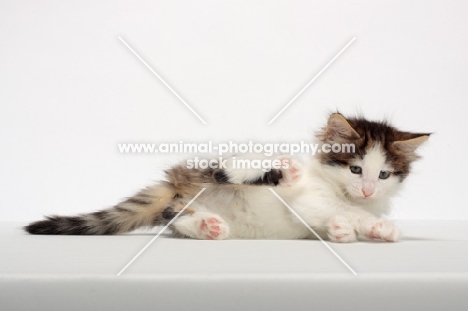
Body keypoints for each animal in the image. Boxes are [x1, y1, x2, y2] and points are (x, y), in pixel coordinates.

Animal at [23, 113, 430, 243]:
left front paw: (361, 229)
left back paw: (208, 225)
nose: (367, 190)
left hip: (183, 205)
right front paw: (363, 224)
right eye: (355, 169)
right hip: (219, 167)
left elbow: (350, 219)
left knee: (174, 216)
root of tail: (178, 180)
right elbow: (335, 209)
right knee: (230, 172)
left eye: (383, 174)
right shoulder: (311, 199)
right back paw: (283, 172)